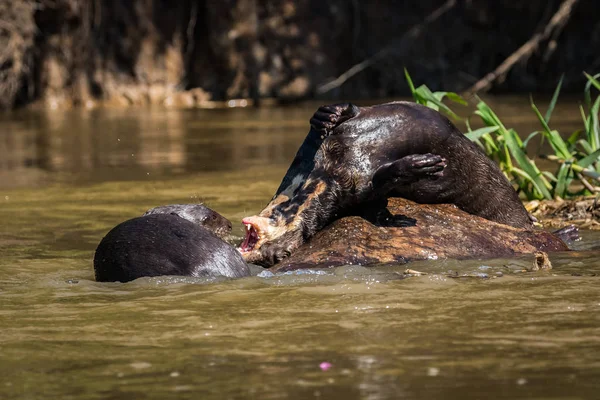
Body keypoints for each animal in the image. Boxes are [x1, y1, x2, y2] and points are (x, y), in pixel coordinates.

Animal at [240, 101, 536, 268]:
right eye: (273, 257)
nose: (245, 255)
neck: (322, 175)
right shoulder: (353, 189)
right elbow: (377, 189)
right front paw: (417, 168)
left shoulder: (308, 156)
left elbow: (353, 111)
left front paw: (327, 114)